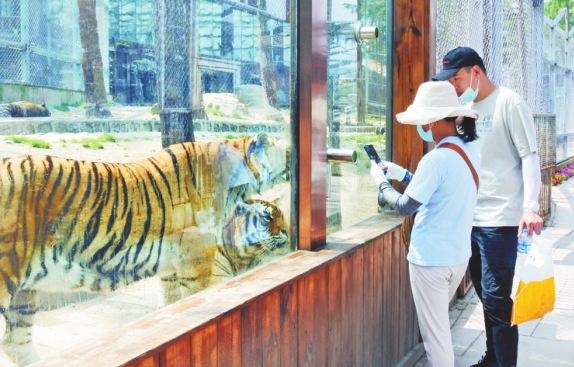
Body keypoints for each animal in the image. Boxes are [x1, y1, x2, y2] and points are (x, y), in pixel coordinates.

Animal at [0, 134, 288, 366]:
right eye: (283, 147)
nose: (290, 155)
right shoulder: (197, 260)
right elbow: (197, 299)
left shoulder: (171, 266)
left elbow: (171, 304)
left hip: (25, 292)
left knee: (15, 341)